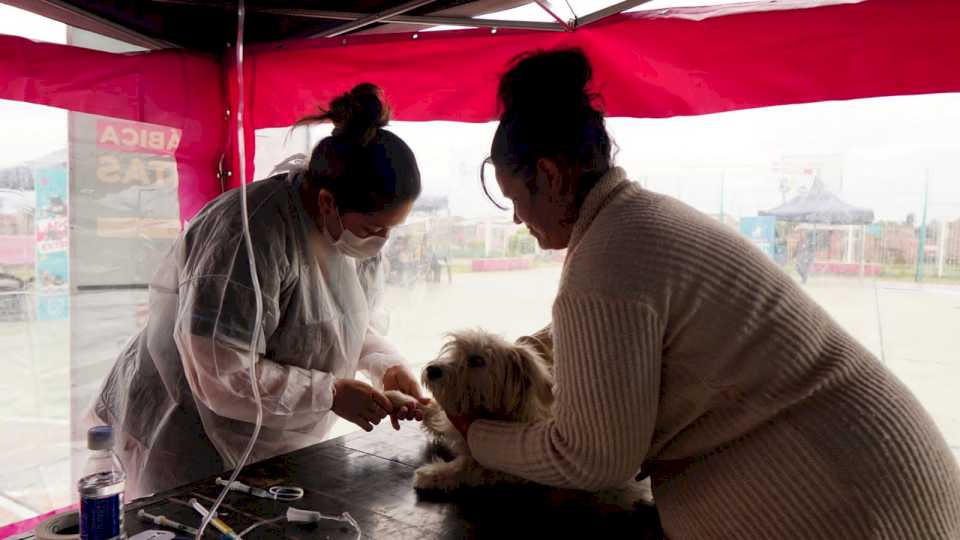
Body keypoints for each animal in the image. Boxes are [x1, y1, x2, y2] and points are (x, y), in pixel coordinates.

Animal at [406, 326, 556, 492]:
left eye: (477, 360)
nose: (432, 370)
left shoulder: (513, 465)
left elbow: (469, 465)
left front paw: (434, 473)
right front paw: (422, 406)